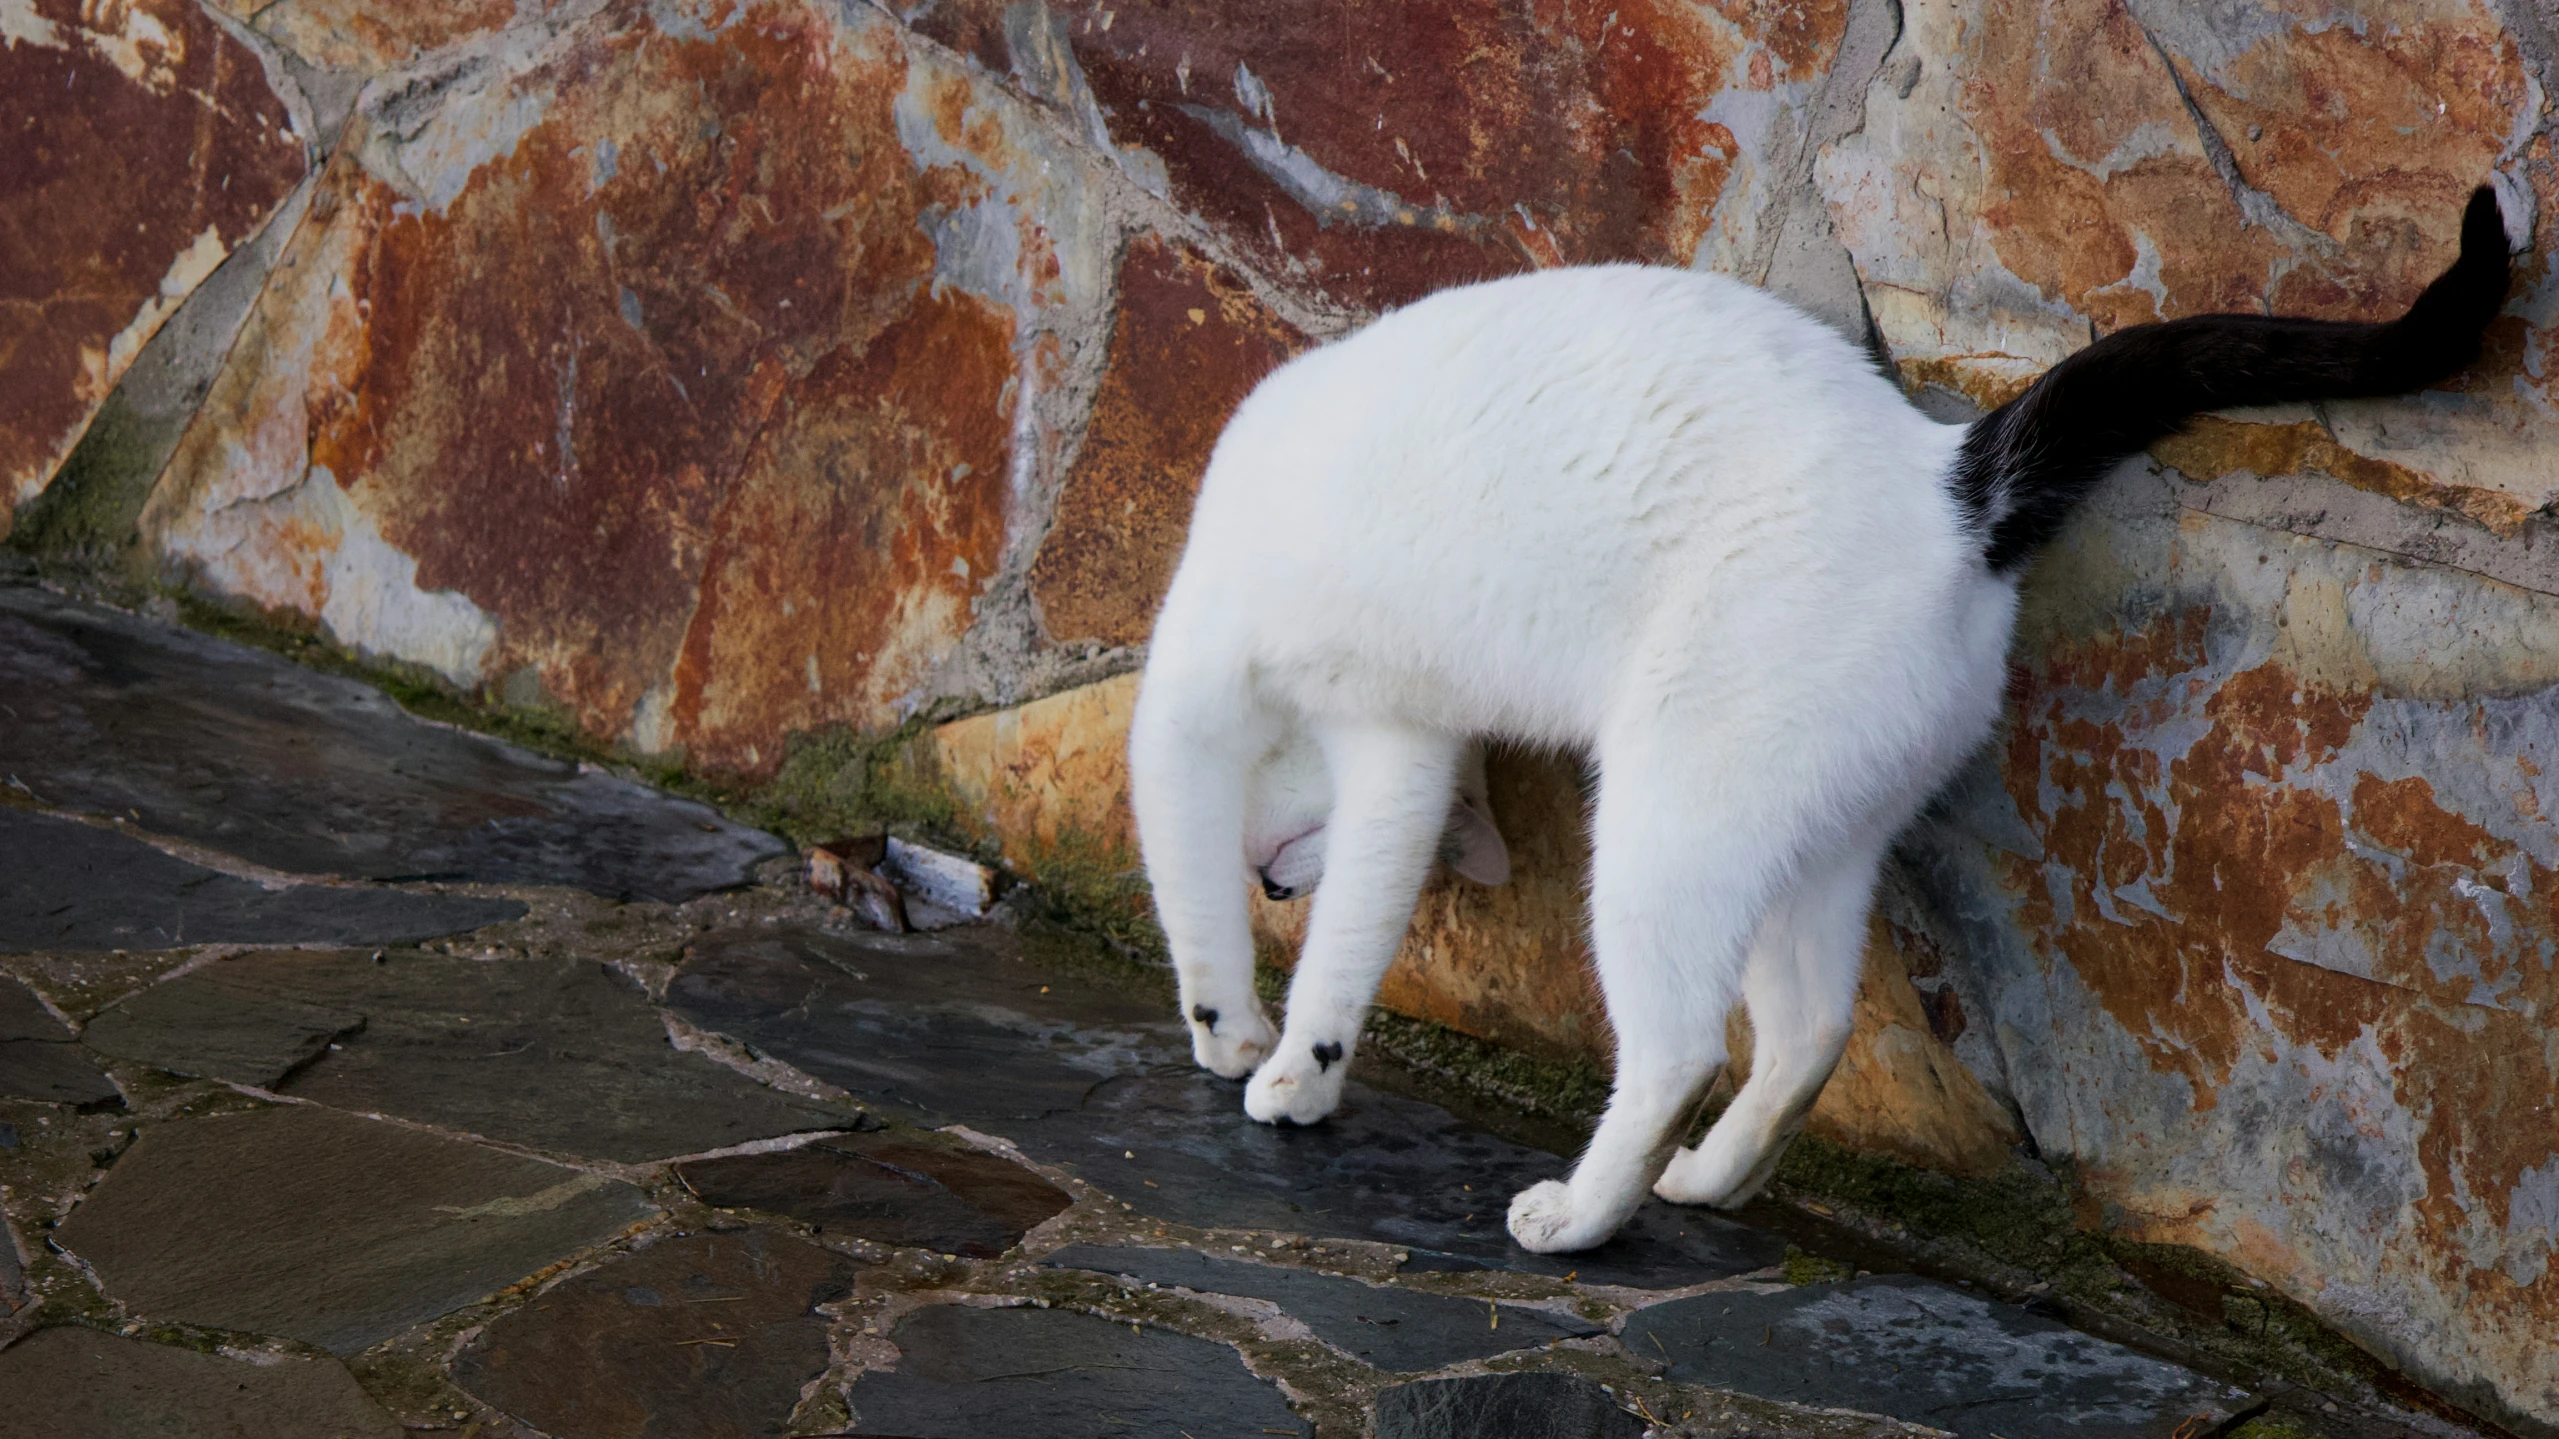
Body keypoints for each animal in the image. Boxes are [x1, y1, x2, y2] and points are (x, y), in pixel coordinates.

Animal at [1125, 188, 2518, 1244]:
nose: (1280, 880)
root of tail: (1952, 480)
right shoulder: (1401, 752)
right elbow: (1359, 928)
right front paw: (1307, 1066)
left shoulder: (1196, 695)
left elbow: (1192, 879)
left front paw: (1230, 1032)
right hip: (1810, 832)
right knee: (1808, 1033)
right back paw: (1711, 1178)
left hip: (1665, 817)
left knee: (1682, 1046)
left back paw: (1583, 1212)